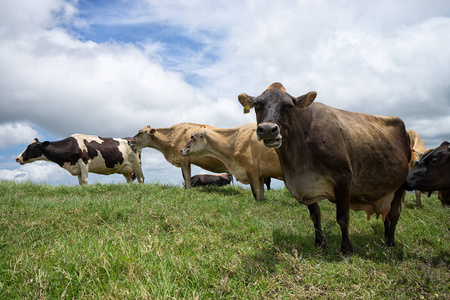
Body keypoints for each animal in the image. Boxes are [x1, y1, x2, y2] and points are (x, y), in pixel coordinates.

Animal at [15, 134, 143, 185]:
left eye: (31, 147)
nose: (17, 158)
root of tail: (131, 138)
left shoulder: (84, 163)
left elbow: (85, 181)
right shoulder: (77, 168)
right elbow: (81, 182)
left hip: (137, 164)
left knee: (140, 178)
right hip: (126, 169)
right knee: (130, 180)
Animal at [239, 82, 412, 255]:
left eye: (289, 106)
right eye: (257, 105)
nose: (268, 129)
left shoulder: (343, 177)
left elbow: (342, 217)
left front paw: (346, 249)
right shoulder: (306, 187)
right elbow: (315, 215)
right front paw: (319, 243)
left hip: (401, 184)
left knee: (394, 214)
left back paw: (390, 243)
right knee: (386, 215)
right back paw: (385, 237)